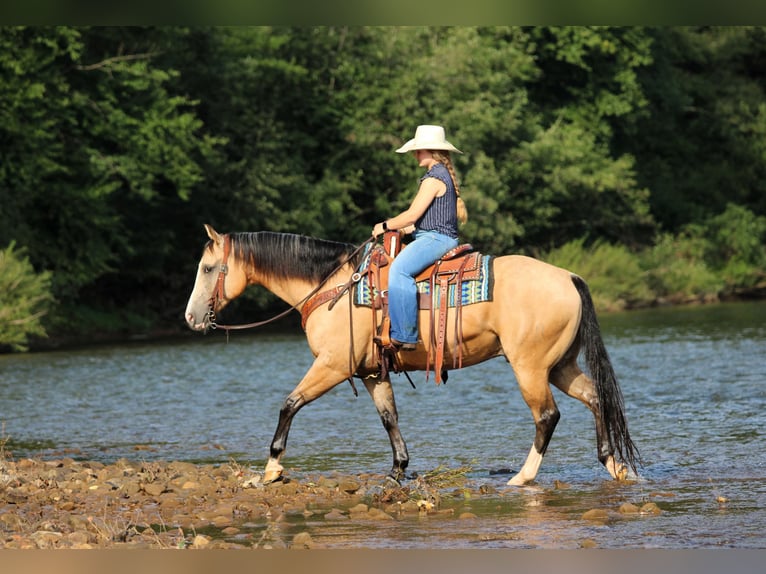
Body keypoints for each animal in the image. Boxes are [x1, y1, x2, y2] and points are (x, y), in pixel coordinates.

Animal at [184, 224, 640, 486]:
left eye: (207, 269)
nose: (190, 318)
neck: (333, 287)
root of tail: (569, 276)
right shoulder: (372, 373)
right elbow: (389, 417)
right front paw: (398, 469)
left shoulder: (333, 365)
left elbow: (289, 404)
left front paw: (272, 467)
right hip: (559, 365)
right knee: (595, 399)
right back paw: (614, 466)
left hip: (530, 367)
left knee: (546, 416)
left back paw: (522, 478)